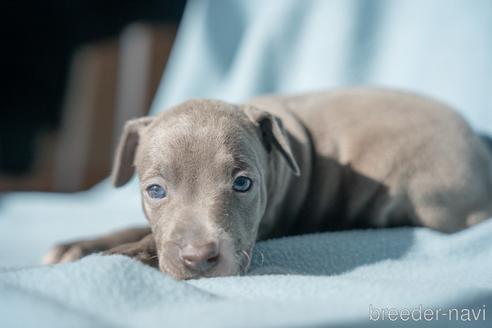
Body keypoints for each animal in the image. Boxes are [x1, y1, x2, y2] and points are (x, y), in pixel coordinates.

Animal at [43, 89, 492, 280]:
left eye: (243, 183)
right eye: (155, 191)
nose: (200, 258)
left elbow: (147, 238)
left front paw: (124, 252)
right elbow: (139, 226)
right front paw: (77, 246)